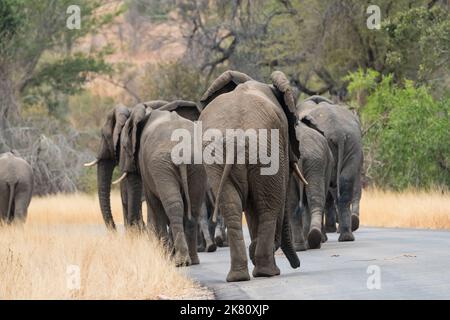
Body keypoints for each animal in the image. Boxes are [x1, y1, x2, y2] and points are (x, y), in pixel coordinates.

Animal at [199, 70, 300, 282]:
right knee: (269, 205)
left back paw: (239, 276)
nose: (297, 265)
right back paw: (267, 272)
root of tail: (236, 135)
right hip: (266, 152)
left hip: (217, 158)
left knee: (232, 207)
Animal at [284, 120, 334, 250]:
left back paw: (302, 246)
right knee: (313, 200)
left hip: (313, 163)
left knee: (296, 202)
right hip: (315, 163)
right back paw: (310, 242)